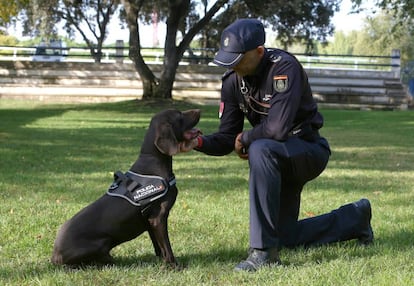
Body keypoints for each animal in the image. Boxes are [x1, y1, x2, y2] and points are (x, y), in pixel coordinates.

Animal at [51, 108, 201, 268]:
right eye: (179, 114)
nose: (199, 110)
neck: (153, 159)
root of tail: (54, 256)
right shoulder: (158, 218)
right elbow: (167, 247)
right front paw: (174, 266)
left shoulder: (150, 221)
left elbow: (159, 247)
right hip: (101, 243)